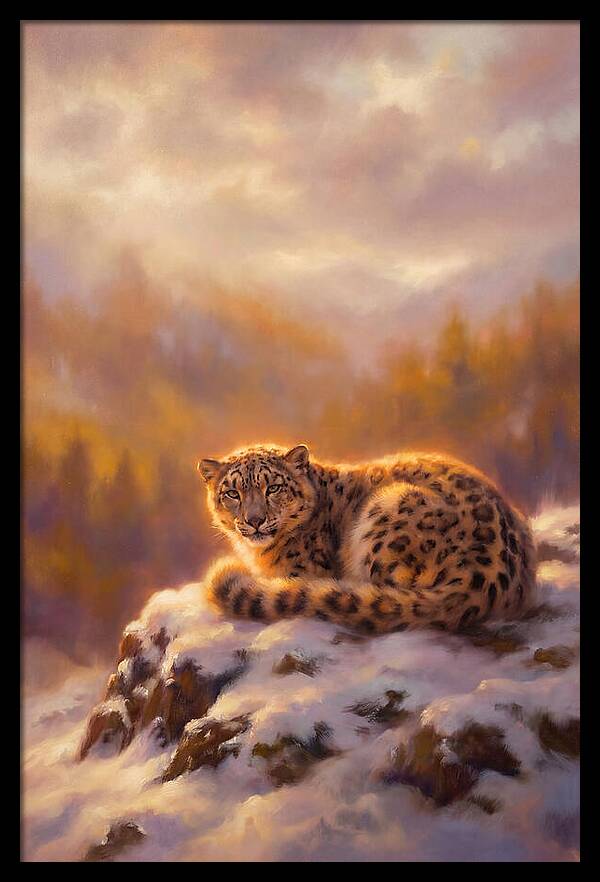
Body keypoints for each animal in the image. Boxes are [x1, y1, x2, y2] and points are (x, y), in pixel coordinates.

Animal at [198, 443, 536, 634]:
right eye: (232, 493)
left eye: (274, 488)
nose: (255, 520)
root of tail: (478, 583)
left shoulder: (300, 571)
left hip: (387, 509)